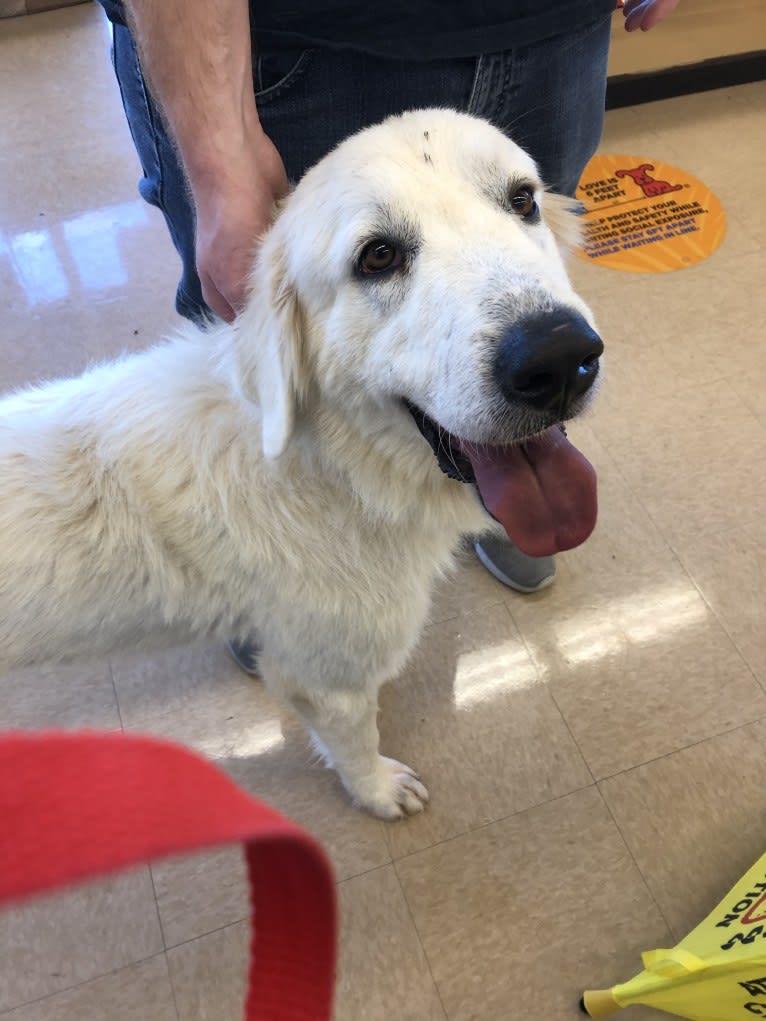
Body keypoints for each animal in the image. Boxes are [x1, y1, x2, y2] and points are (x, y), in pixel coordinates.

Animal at [0, 109, 604, 820]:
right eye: (378, 256)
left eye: (522, 201)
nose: (560, 359)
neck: (332, 469)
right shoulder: (329, 678)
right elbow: (356, 742)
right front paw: (377, 792)